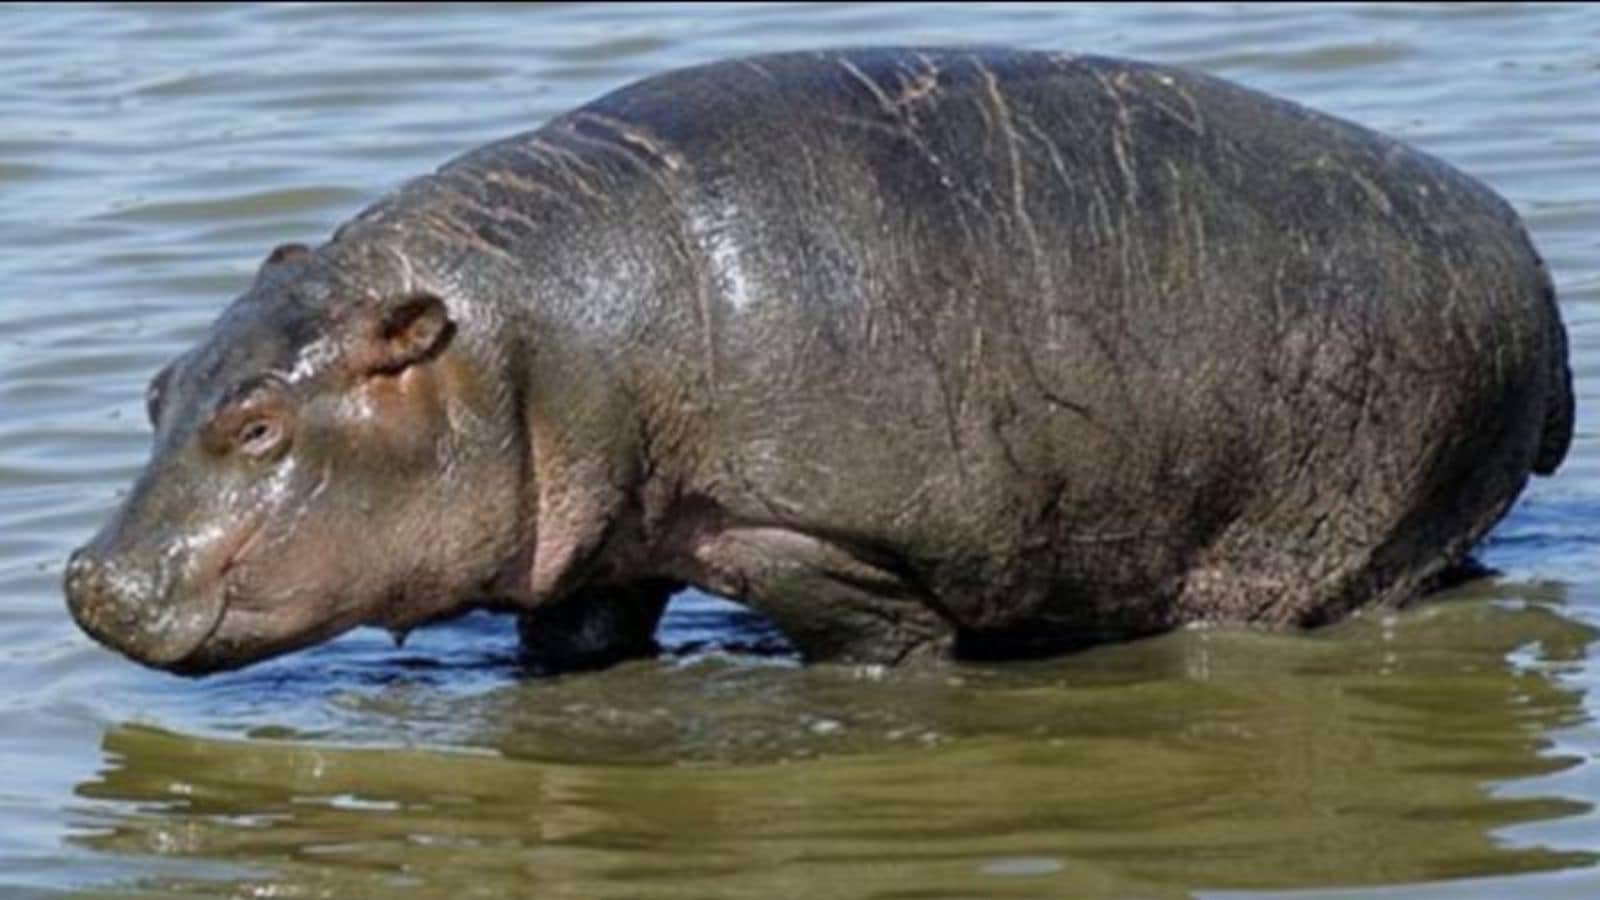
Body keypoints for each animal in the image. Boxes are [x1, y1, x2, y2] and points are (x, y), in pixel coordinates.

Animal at [64, 47, 1573, 675]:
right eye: (156, 392)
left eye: (259, 424)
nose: (85, 578)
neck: (519, 340)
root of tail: (1525, 246)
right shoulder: (601, 546)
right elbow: (574, 640)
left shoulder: (803, 539)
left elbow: (880, 642)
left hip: (1343, 537)